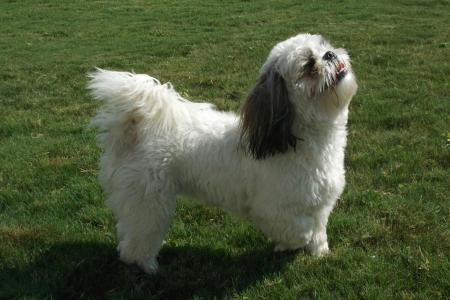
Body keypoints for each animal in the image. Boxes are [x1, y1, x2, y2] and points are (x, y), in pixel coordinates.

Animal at [88, 33, 358, 274]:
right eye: (309, 65)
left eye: (324, 47)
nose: (330, 54)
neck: (299, 140)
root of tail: (136, 127)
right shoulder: (273, 209)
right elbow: (299, 231)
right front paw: (290, 245)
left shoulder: (320, 203)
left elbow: (318, 230)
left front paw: (318, 251)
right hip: (149, 201)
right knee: (137, 239)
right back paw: (146, 265)